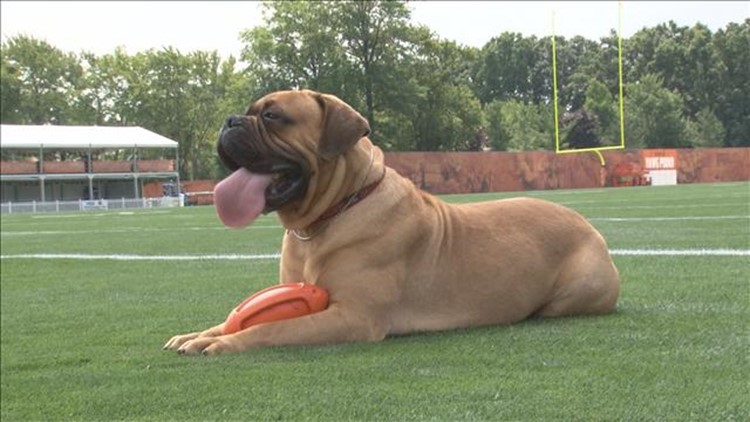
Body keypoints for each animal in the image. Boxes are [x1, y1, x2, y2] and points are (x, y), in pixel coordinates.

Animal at [164, 90, 624, 356]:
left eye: (274, 117)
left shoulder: (352, 316)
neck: (330, 214)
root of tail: (589, 226)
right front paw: (199, 333)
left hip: (574, 293)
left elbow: (273, 330)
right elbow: (242, 318)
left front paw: (223, 342)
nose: (228, 121)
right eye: (248, 113)